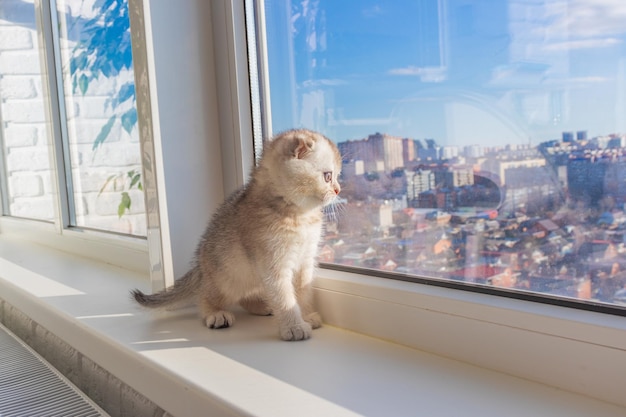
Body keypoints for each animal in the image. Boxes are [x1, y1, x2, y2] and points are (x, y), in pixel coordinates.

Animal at [131, 128, 342, 340]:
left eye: (336, 176)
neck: (300, 216)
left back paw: (262, 306)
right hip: (226, 277)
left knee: (245, 297)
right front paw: (294, 326)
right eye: (328, 176)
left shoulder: (305, 262)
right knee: (205, 296)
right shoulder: (272, 264)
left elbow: (302, 292)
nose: (338, 190)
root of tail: (200, 266)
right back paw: (216, 314)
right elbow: (284, 296)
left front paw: (306, 315)